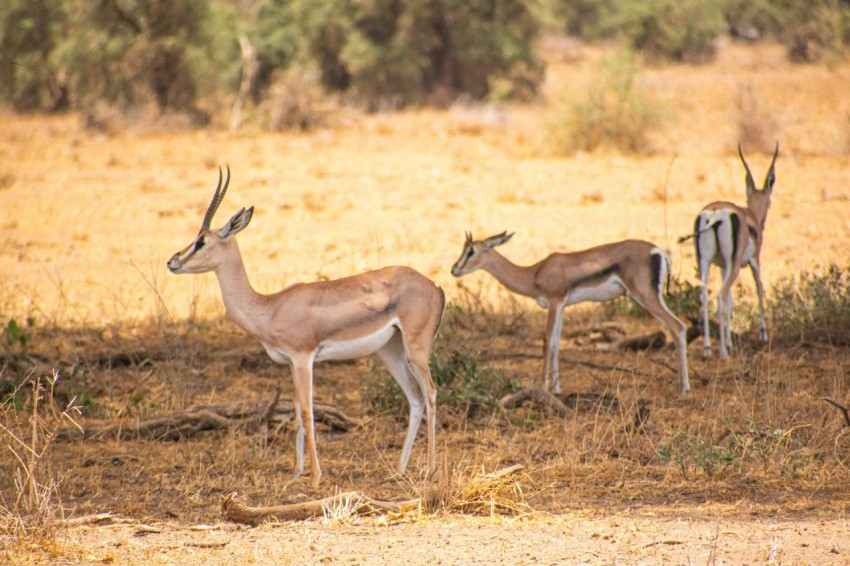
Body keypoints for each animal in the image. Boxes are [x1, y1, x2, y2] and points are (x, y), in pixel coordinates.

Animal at [167, 167, 445, 487]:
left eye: (202, 241)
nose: (172, 261)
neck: (270, 307)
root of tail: (435, 286)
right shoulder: (290, 363)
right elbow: (297, 413)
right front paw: (296, 473)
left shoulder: (303, 358)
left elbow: (308, 412)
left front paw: (314, 477)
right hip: (391, 352)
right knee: (415, 399)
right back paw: (398, 470)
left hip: (416, 350)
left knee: (431, 393)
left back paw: (431, 469)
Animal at [451, 233, 690, 397]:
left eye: (471, 251)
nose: (454, 269)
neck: (534, 273)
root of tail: (658, 251)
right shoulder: (563, 306)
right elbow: (557, 343)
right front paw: (556, 388)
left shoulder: (554, 302)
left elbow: (547, 342)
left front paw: (543, 387)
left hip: (645, 295)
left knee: (677, 326)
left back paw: (684, 388)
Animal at [686, 143, 778, 358]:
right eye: (770, 202)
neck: (750, 217)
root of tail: (713, 215)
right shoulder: (754, 261)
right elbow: (759, 287)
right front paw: (762, 334)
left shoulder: (722, 265)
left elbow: (730, 301)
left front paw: (729, 341)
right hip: (734, 265)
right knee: (720, 294)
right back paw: (721, 351)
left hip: (703, 262)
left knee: (705, 294)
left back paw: (707, 349)